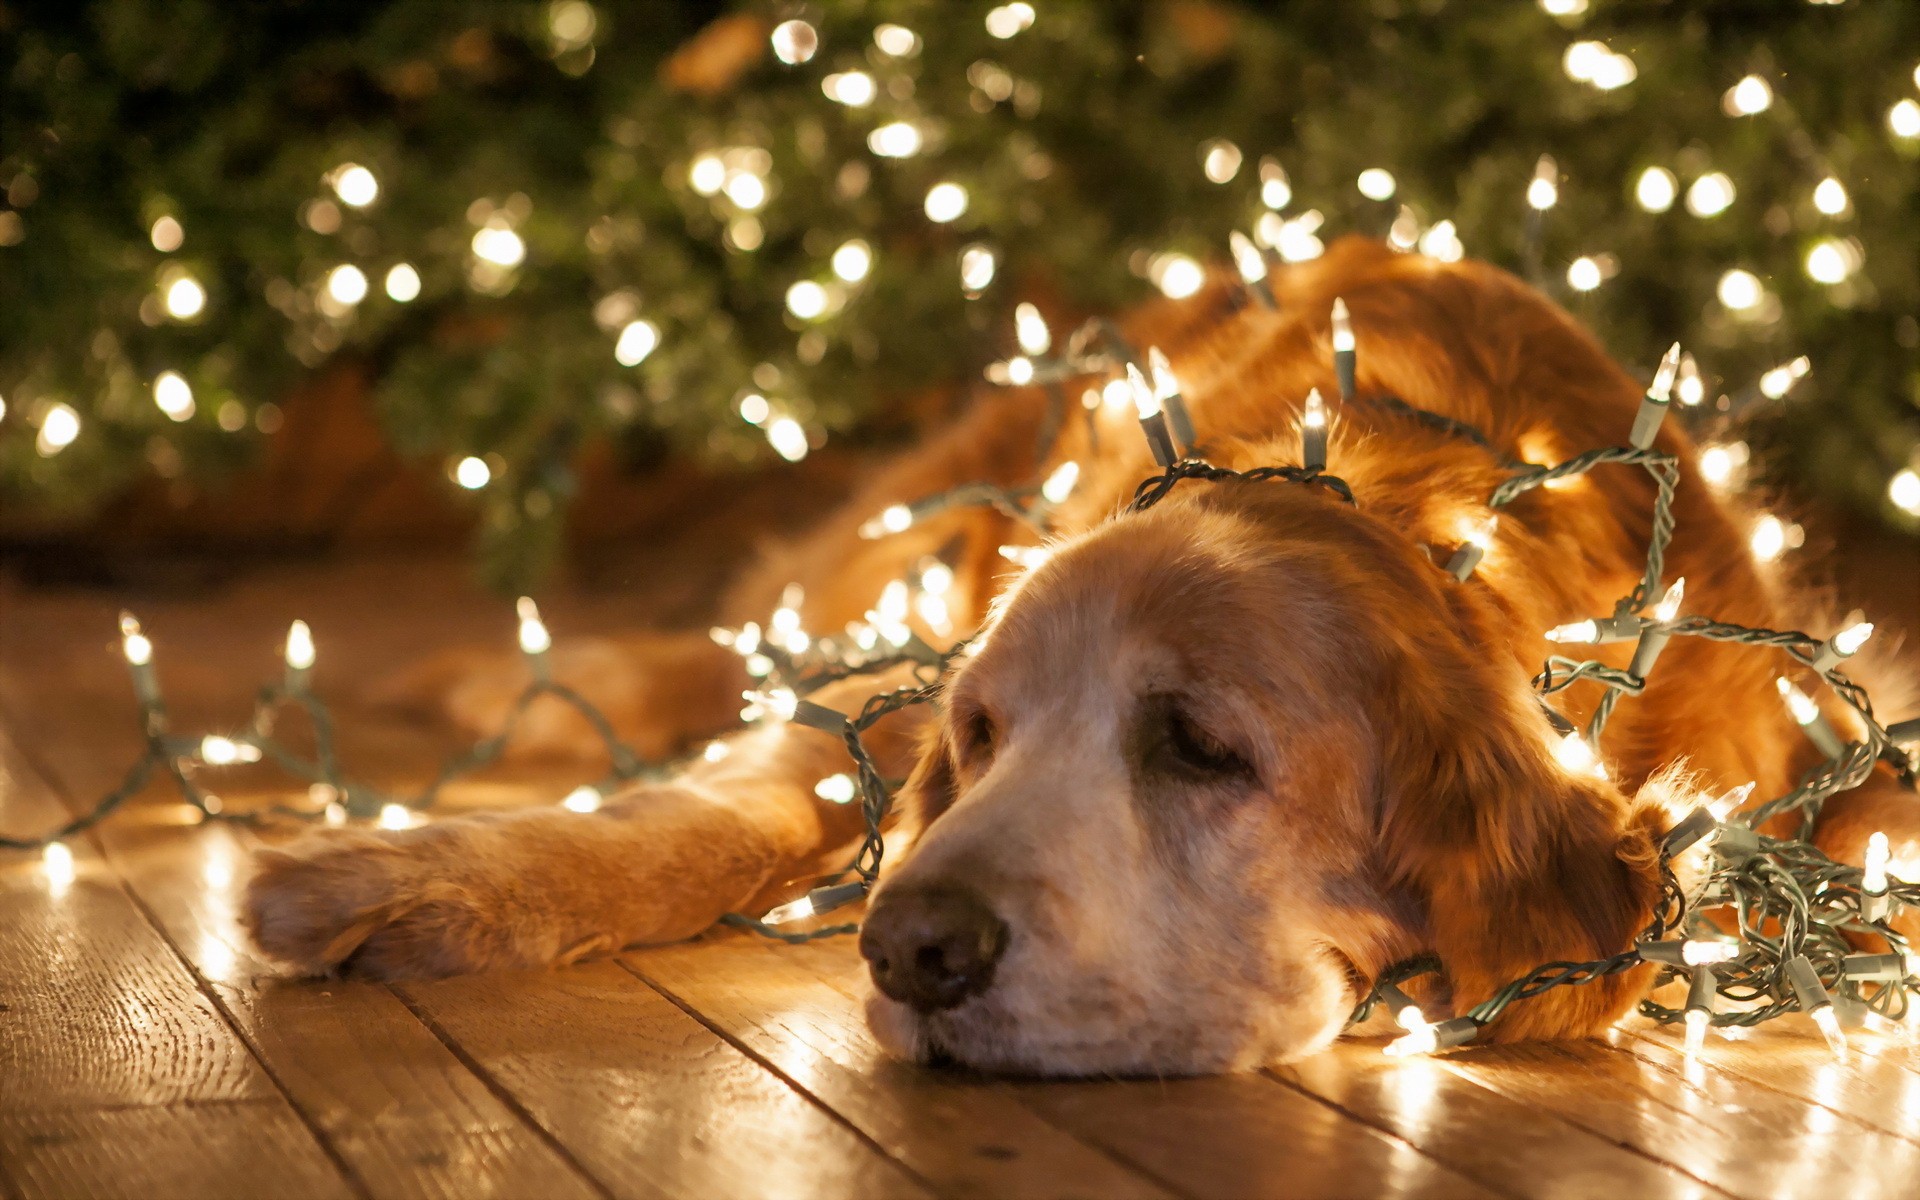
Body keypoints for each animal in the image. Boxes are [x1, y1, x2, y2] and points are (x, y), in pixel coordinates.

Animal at [247, 236, 1912, 1075]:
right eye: (982, 738)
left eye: (1202, 747)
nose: (911, 951)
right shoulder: (891, 698)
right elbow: (738, 803)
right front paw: (408, 875)